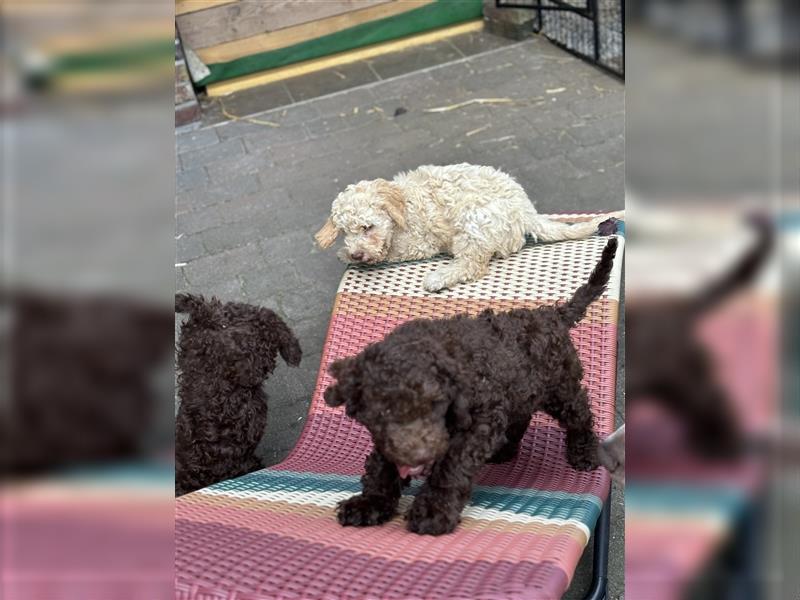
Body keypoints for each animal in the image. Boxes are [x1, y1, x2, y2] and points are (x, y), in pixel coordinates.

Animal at [316, 163, 620, 292]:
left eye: (368, 227)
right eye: (345, 232)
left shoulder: (418, 242)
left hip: (474, 219)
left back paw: (438, 278)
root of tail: (527, 212)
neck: (404, 205)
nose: (356, 254)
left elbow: (390, 252)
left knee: (473, 264)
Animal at [324, 238, 620, 536]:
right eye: (381, 413)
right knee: (520, 416)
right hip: (519, 391)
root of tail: (553, 314)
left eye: (434, 405)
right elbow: (382, 466)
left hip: (561, 388)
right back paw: (505, 449)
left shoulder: (474, 427)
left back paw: (584, 452)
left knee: (580, 415)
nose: (418, 455)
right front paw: (369, 503)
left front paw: (433, 511)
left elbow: (449, 469)